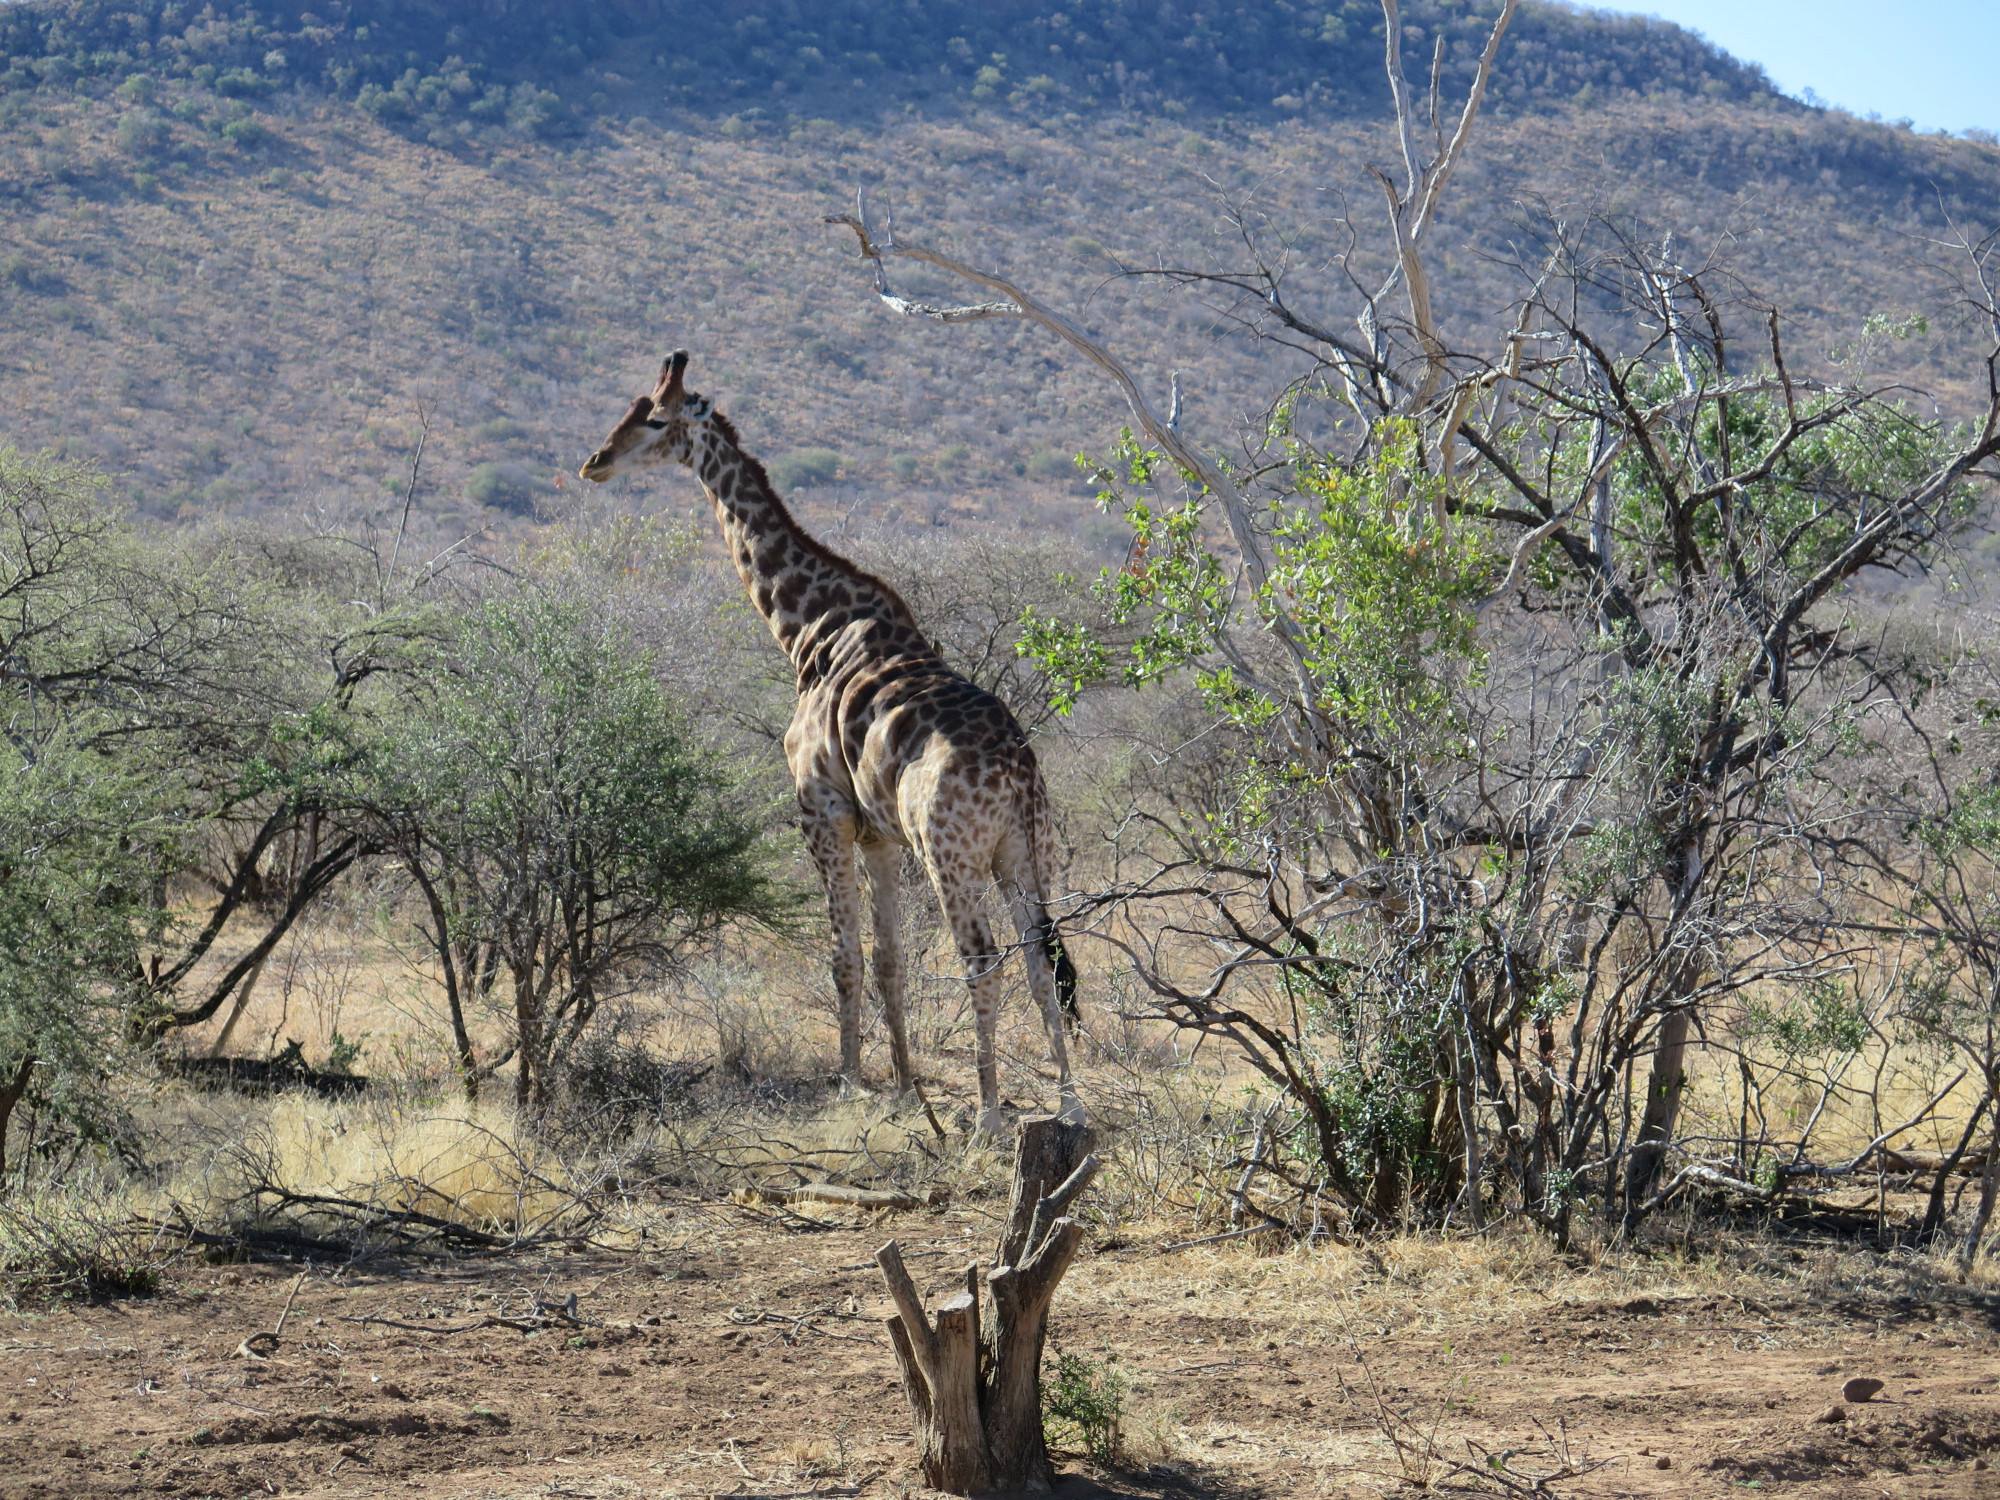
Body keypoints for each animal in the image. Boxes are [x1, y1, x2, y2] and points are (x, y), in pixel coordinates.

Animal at [580, 350, 1080, 1128]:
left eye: (655, 420)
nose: (595, 462)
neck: (808, 628)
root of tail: (1021, 770)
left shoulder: (822, 810)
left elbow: (843, 955)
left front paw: (849, 1081)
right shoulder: (877, 832)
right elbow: (889, 959)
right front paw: (904, 1087)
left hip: (950, 853)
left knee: (983, 959)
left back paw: (990, 1115)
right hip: (1025, 852)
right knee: (1040, 962)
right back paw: (1069, 1107)